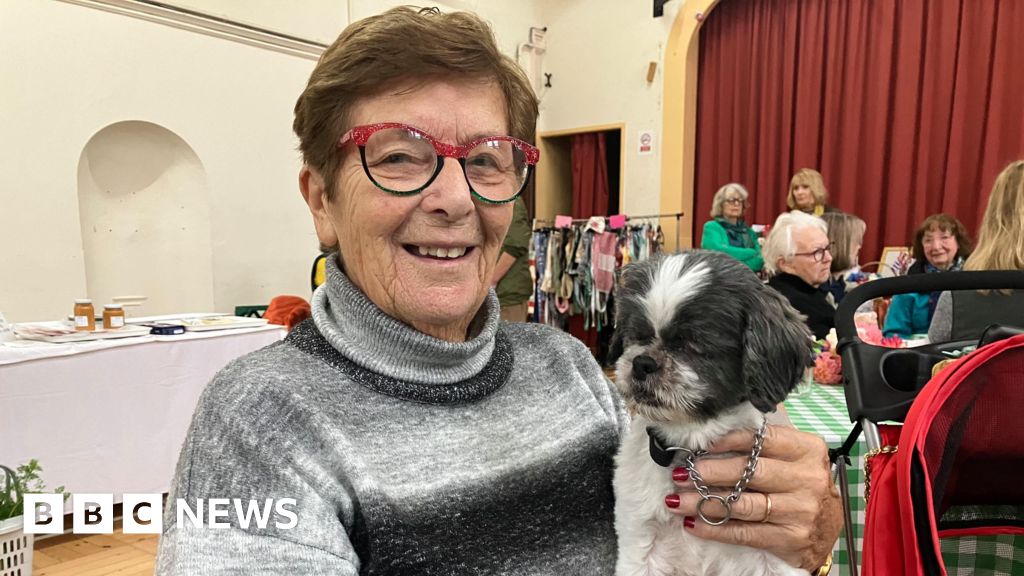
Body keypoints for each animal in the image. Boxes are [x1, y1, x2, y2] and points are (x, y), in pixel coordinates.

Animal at [610, 251, 813, 576]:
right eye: (636, 336)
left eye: (694, 346)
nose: (642, 362)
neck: (693, 447)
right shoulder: (640, 540)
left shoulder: (774, 555)